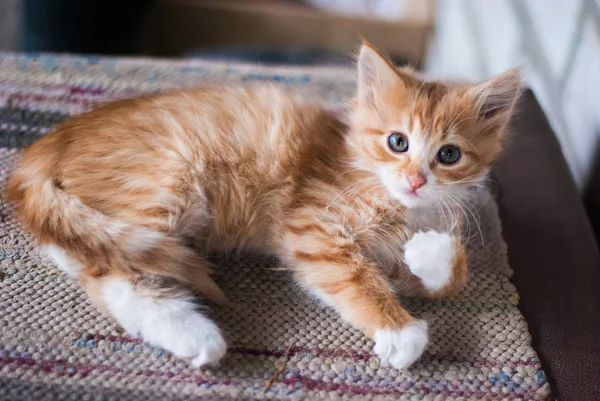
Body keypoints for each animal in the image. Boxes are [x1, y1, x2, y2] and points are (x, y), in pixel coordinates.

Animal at [5, 43, 520, 368]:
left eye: (448, 155)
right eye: (398, 142)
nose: (415, 180)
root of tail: (44, 146)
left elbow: (448, 278)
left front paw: (434, 252)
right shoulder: (311, 223)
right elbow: (354, 277)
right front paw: (398, 330)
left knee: (84, 248)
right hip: (167, 180)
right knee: (110, 273)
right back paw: (194, 333)